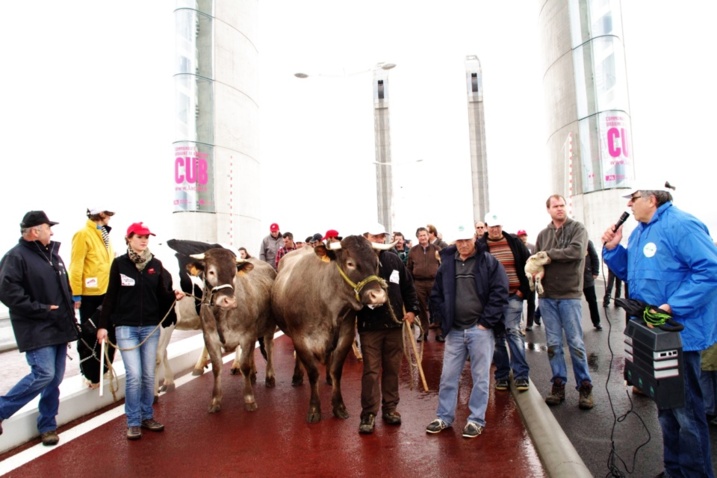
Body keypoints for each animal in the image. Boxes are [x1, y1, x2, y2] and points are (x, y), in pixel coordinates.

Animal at [186, 248, 276, 412]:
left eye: (234, 272)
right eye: (211, 272)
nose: (228, 301)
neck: (221, 316)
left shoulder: (247, 336)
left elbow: (244, 365)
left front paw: (249, 399)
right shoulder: (209, 339)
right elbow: (216, 368)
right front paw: (215, 400)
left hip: (269, 327)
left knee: (269, 348)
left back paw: (270, 377)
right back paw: (253, 376)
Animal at [270, 235, 392, 422]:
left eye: (376, 262)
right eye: (350, 263)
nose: (378, 296)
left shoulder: (345, 336)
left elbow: (336, 371)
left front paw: (339, 406)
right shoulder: (300, 339)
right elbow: (313, 373)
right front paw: (314, 409)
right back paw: (297, 376)